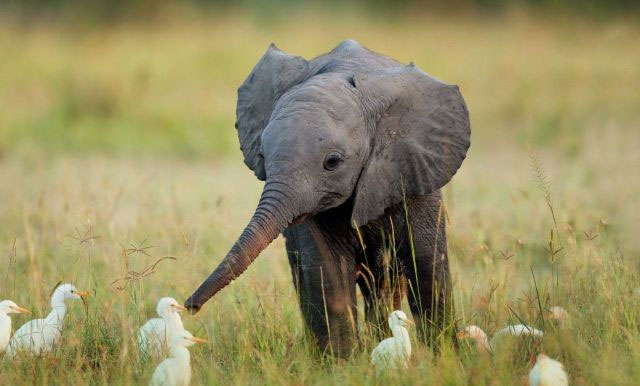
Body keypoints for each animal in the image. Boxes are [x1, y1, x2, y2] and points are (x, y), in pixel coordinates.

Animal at [185, 39, 470, 356]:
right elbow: (327, 271)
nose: (189, 306)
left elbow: (427, 265)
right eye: (262, 156)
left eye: (332, 162)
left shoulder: (414, 169)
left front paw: (445, 357)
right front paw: (342, 363)